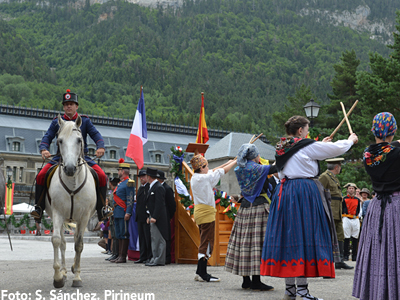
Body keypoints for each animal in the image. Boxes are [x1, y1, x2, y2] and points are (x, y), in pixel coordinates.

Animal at [45, 115, 97, 288]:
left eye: (79, 140)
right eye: (60, 140)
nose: (69, 168)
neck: (72, 181)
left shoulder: (84, 216)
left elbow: (79, 244)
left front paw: (77, 277)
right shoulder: (57, 213)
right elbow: (56, 240)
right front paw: (58, 277)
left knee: (75, 241)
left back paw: (74, 269)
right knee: (63, 242)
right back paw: (65, 271)